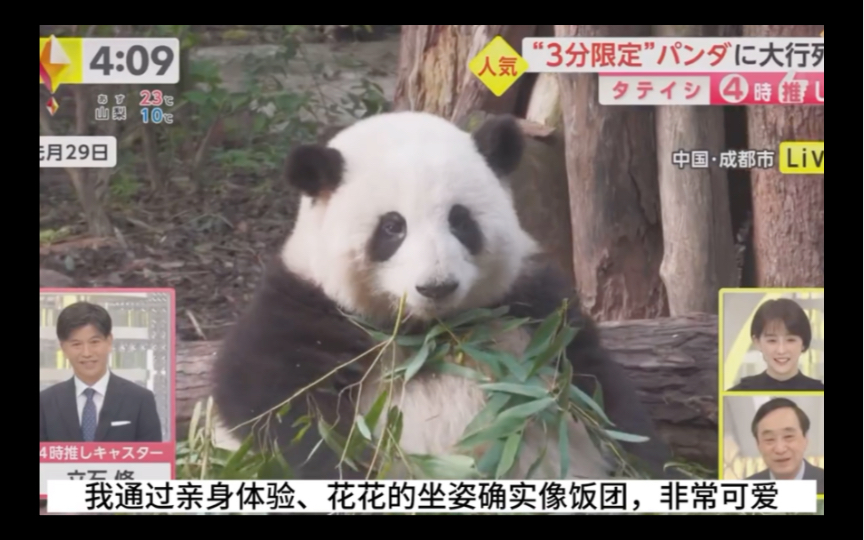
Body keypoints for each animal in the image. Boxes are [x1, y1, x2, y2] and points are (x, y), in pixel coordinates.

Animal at [211, 109, 676, 480]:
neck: (430, 332)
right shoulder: (306, 309)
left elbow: (599, 393)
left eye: (460, 219)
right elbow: (276, 408)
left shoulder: (532, 305)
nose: (436, 286)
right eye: (392, 226)